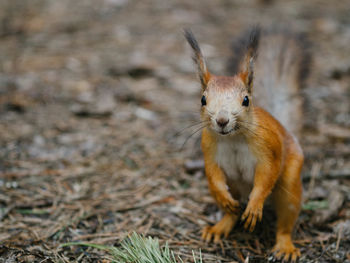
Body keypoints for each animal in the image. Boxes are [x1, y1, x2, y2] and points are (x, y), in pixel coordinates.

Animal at [185, 27, 310, 262]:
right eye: (203, 100)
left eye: (246, 100)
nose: (222, 120)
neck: (232, 137)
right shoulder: (209, 151)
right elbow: (213, 174)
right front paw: (223, 197)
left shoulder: (269, 149)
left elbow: (267, 174)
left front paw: (254, 205)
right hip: (234, 187)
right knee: (232, 211)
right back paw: (220, 225)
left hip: (289, 184)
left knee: (285, 220)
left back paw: (285, 246)